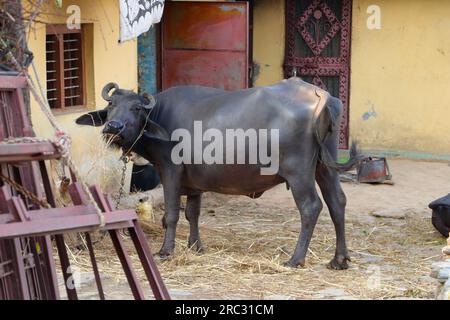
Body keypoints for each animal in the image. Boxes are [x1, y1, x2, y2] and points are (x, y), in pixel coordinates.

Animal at [75, 79, 360, 268]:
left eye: (136, 108)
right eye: (111, 105)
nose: (113, 127)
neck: (160, 117)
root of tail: (320, 95)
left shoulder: (171, 171)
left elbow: (171, 214)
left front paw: (166, 250)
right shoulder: (194, 183)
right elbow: (192, 213)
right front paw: (195, 246)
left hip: (298, 172)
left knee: (311, 207)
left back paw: (295, 259)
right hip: (325, 166)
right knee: (337, 202)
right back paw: (339, 259)